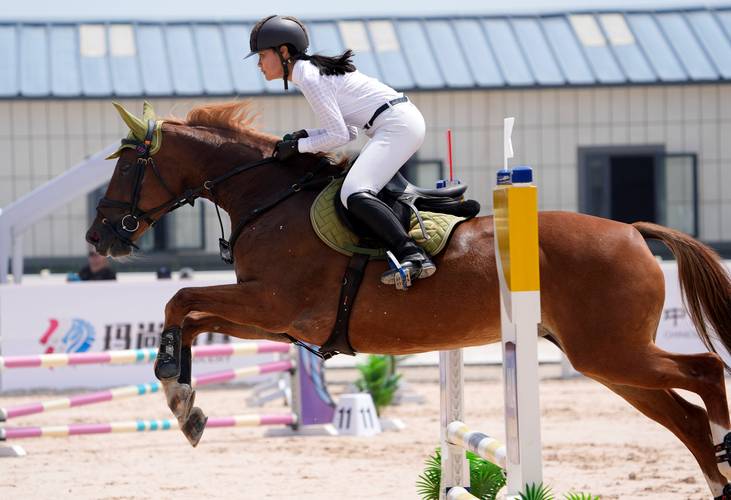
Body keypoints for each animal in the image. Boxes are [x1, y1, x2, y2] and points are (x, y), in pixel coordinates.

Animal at [86, 101, 731, 499]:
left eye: (127, 166)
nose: (99, 237)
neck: (269, 201)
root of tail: (632, 231)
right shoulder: (276, 318)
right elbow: (191, 314)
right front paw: (185, 400)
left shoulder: (276, 304)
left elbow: (180, 299)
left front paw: (175, 388)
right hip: (605, 360)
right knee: (685, 417)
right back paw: (719, 475)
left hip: (611, 351)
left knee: (705, 371)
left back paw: (727, 447)